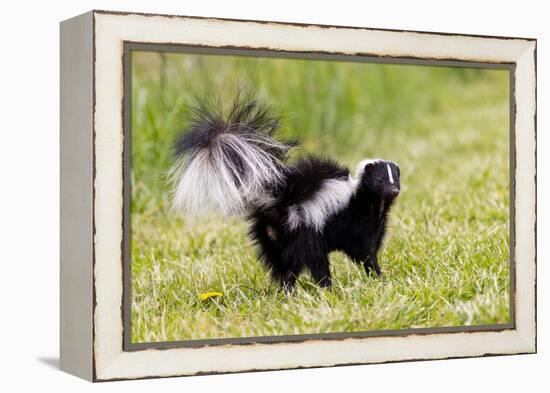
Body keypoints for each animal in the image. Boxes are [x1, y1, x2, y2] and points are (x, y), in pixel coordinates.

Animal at [171, 93, 402, 290]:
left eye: (396, 178)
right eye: (380, 180)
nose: (394, 190)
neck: (369, 202)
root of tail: (280, 202)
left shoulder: (374, 225)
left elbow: (369, 249)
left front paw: (377, 277)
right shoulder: (355, 224)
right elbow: (364, 253)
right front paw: (378, 276)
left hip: (273, 238)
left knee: (284, 266)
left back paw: (287, 290)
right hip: (303, 231)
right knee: (314, 262)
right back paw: (326, 287)